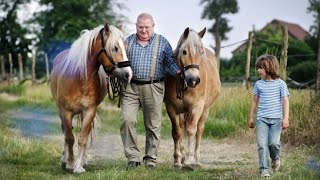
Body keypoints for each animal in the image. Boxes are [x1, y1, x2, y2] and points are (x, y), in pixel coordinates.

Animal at [50, 22, 132, 173]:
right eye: (115, 48)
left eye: (125, 46)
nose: (128, 74)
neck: (80, 78)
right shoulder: (66, 112)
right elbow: (69, 137)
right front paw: (70, 164)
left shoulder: (89, 111)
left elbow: (83, 138)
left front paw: (78, 166)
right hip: (60, 110)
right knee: (65, 132)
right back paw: (64, 159)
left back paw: (83, 160)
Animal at [165, 27, 220, 170]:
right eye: (184, 51)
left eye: (201, 52)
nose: (194, 80)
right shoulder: (171, 108)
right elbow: (177, 132)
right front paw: (177, 160)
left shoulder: (197, 107)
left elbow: (191, 130)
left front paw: (189, 161)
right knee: (181, 126)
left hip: (205, 110)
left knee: (199, 130)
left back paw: (196, 158)